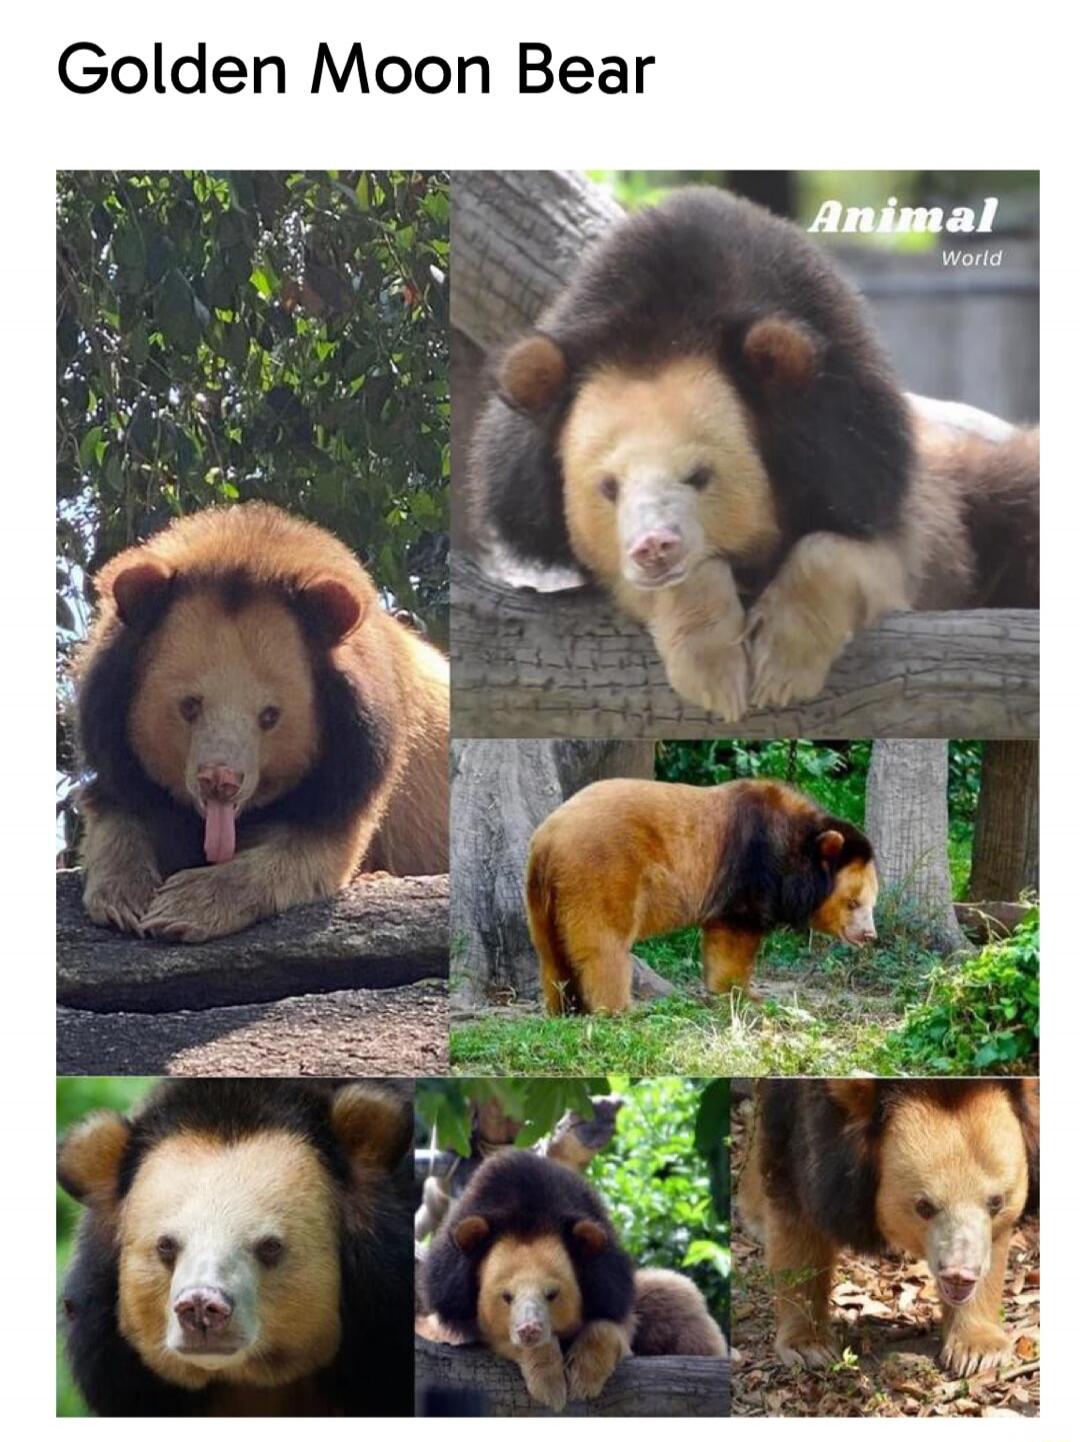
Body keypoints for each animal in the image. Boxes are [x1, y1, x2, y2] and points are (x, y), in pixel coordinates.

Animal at [73, 501, 448, 942]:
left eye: (270, 716)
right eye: (189, 706)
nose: (220, 782)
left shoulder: (357, 761)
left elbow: (314, 850)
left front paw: (182, 907)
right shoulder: (112, 725)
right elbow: (116, 810)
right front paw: (125, 900)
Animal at [421, 1150, 726, 1413]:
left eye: (552, 1294)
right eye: (506, 1296)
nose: (529, 1330)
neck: (529, 1213)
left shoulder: (610, 1281)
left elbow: (615, 1326)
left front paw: (583, 1378)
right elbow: (493, 1337)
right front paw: (550, 1384)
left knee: (678, 1299)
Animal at [469, 186, 1039, 719]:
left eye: (701, 476)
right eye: (608, 487)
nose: (654, 547)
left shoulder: (862, 458)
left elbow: (876, 554)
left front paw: (778, 669)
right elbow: (639, 582)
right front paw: (715, 673)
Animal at [526, 776, 877, 1014]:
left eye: (872, 902)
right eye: (852, 902)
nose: (868, 934)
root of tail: (548, 840)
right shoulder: (752, 863)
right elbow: (735, 932)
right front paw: (743, 993)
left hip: (544, 896)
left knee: (551, 952)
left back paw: (565, 1008)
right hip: (601, 872)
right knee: (604, 947)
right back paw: (618, 1009)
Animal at [736, 1079, 1039, 1377]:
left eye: (996, 1202)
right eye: (923, 1207)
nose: (959, 1276)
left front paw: (978, 1349)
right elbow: (797, 1211)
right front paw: (809, 1346)